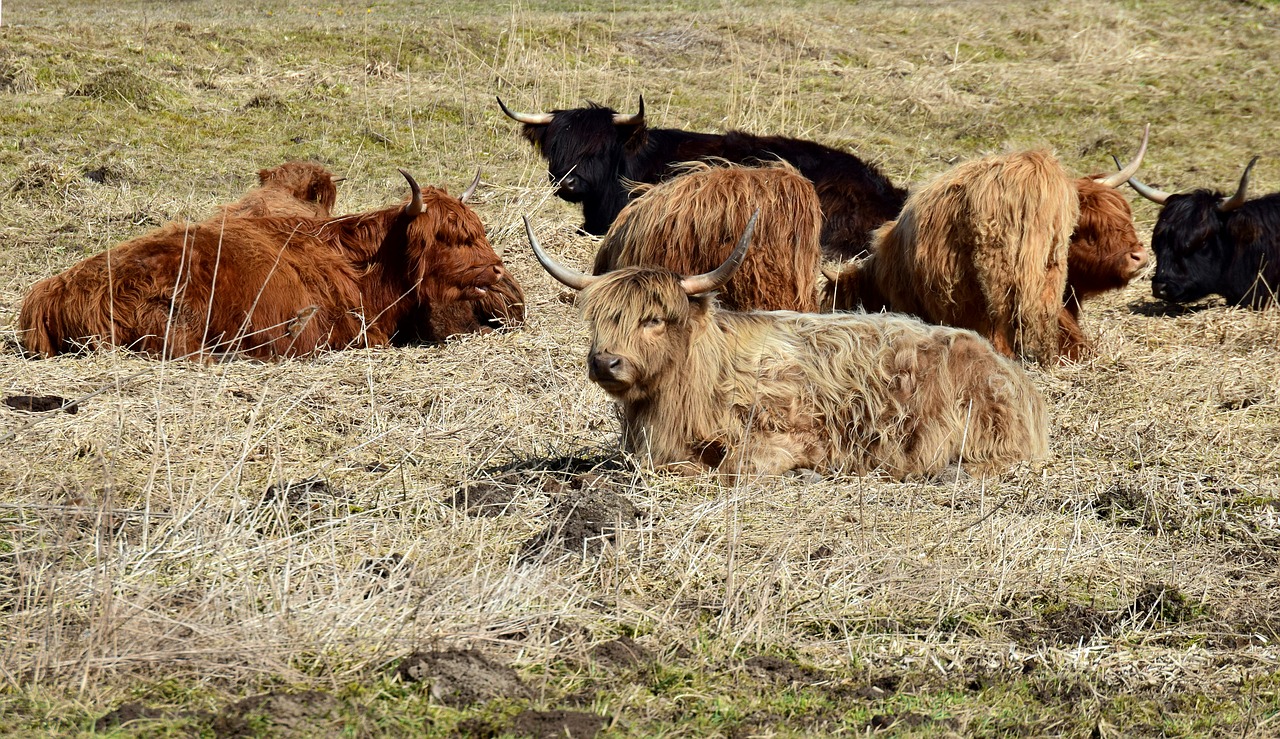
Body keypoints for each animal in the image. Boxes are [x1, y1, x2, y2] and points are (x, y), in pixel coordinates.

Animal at [522, 210, 1049, 481]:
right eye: (599, 319)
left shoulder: (789, 434)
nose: (605, 362)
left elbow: (734, 468)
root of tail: (1010, 372)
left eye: (653, 319)